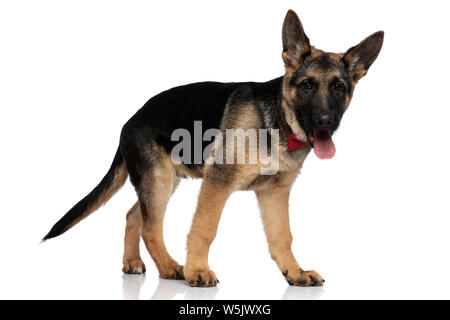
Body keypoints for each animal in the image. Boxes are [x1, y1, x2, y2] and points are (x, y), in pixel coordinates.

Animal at [43, 10, 384, 288]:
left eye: (339, 88)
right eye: (307, 85)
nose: (326, 121)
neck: (277, 120)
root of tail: (131, 118)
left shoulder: (274, 193)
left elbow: (282, 236)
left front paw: (295, 273)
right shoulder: (218, 183)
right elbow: (204, 228)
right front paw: (197, 271)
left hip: (164, 181)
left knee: (133, 216)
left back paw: (133, 262)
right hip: (158, 180)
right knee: (150, 227)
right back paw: (171, 267)